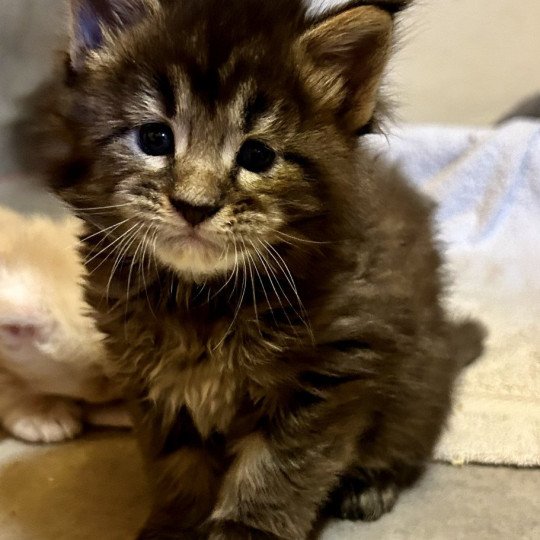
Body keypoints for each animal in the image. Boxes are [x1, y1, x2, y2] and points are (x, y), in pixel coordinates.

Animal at [20, 1, 486, 540]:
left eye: (257, 155)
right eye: (155, 137)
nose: (194, 206)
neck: (200, 299)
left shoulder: (330, 372)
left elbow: (278, 470)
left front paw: (247, 529)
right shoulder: (152, 376)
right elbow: (177, 465)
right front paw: (176, 525)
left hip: (417, 390)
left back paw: (371, 485)